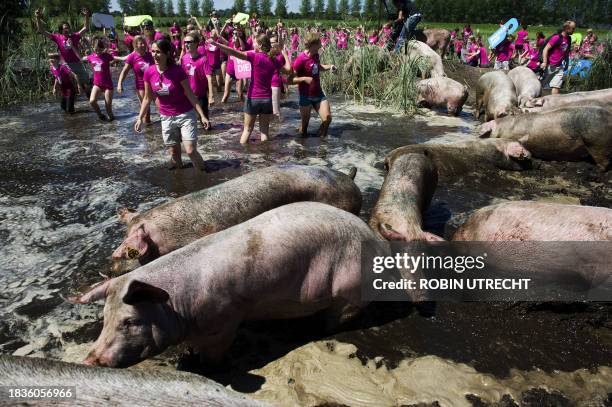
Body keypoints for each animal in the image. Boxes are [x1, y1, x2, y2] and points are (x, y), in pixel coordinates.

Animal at [69, 204, 392, 370]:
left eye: (130, 321)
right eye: (105, 318)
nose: (90, 360)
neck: (179, 305)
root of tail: (376, 243)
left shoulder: (223, 322)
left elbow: (214, 355)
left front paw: (205, 367)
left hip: (349, 290)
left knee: (338, 319)